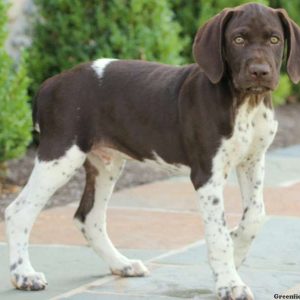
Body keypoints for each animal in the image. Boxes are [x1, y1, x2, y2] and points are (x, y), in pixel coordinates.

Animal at [4, 2, 300, 300]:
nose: (260, 72)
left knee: (89, 218)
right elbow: (218, 235)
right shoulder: (207, 174)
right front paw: (229, 282)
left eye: (274, 39)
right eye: (238, 39)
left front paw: (237, 249)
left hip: (105, 163)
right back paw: (24, 275)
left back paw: (121, 264)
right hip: (60, 155)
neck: (246, 103)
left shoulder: (252, 161)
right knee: (18, 212)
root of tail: (49, 84)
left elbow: (256, 215)